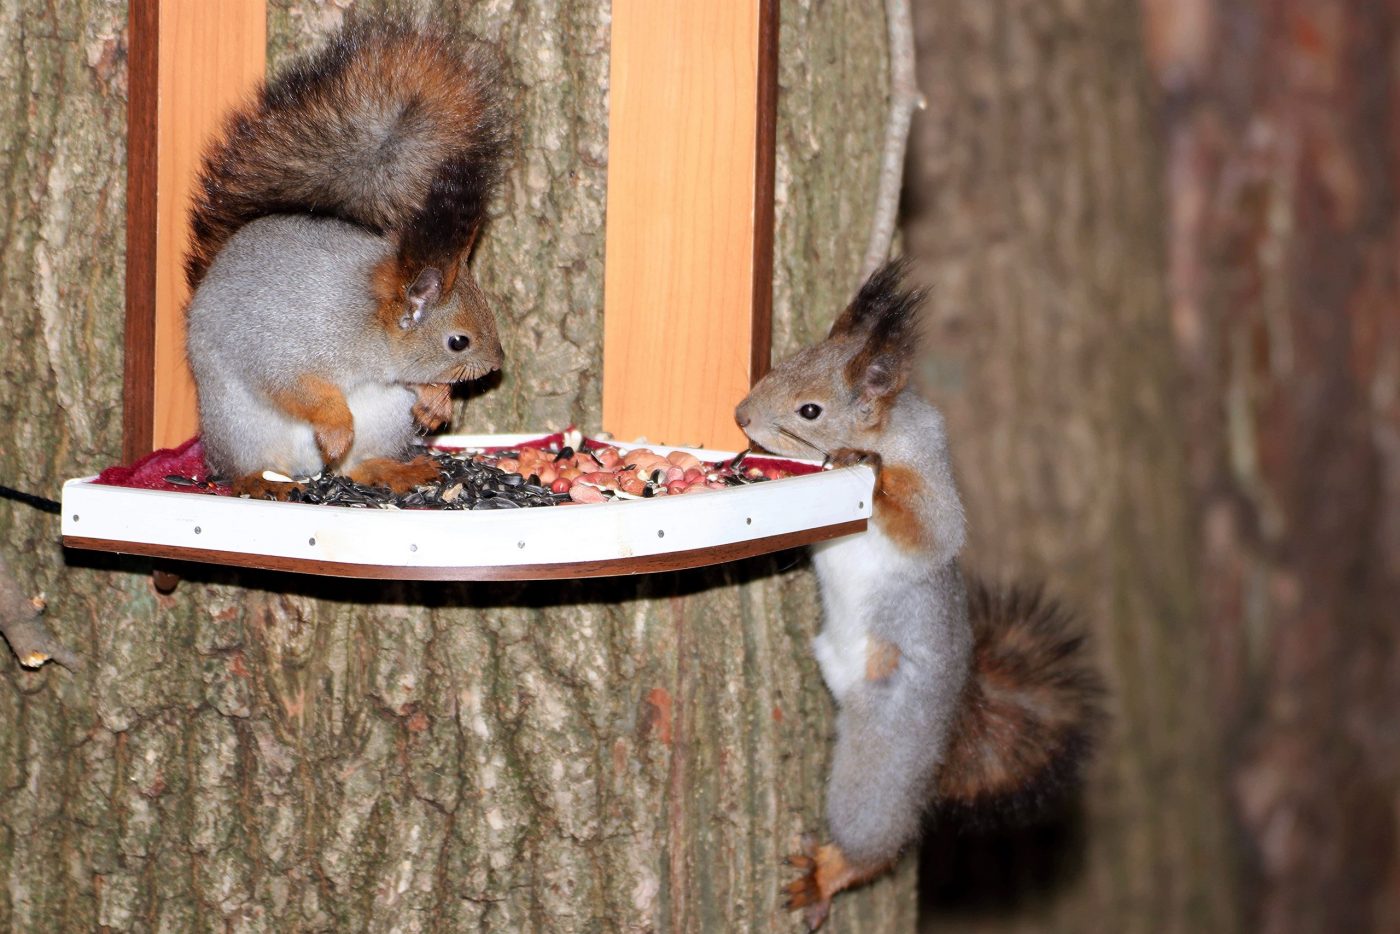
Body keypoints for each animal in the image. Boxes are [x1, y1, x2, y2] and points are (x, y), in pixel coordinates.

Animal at [183, 18, 512, 495]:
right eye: (458, 342)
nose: (497, 363)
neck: (366, 325)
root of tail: (307, 468)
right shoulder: (285, 345)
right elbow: (297, 387)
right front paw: (336, 425)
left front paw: (436, 401)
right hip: (239, 424)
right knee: (249, 465)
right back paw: (264, 480)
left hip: (385, 419)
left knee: (355, 467)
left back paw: (390, 469)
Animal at [733, 259, 1103, 929]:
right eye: (785, 361)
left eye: (810, 410)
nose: (741, 416)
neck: (892, 430)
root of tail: (957, 718)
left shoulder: (932, 491)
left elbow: (926, 525)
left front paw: (863, 463)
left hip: (885, 753)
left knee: (876, 840)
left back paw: (830, 873)